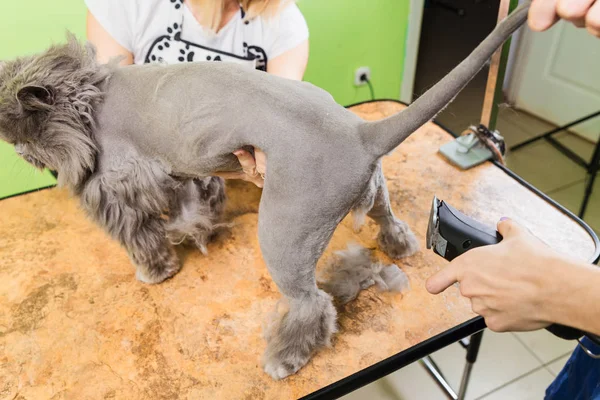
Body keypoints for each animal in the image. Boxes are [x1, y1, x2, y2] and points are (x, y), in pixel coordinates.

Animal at [0, 2, 528, 378]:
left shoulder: (120, 192)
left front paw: (155, 271)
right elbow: (189, 208)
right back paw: (402, 249)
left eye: (19, 137)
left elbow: (144, 241)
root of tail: (359, 131)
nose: (25, 158)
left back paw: (283, 359)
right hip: (375, 193)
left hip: (283, 236)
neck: (90, 95)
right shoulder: (180, 174)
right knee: (392, 223)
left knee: (313, 303)